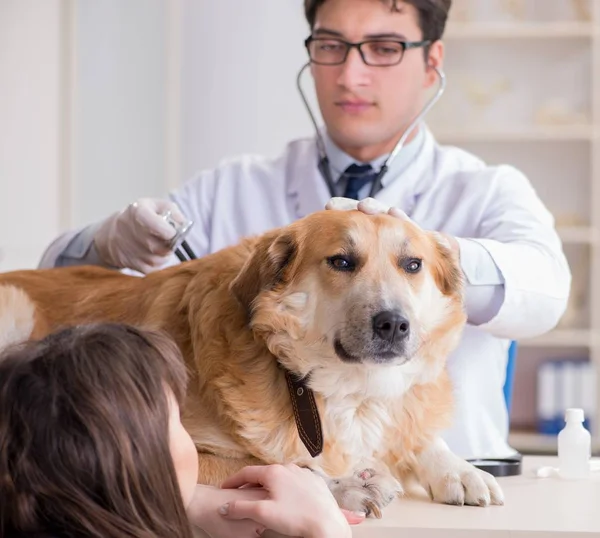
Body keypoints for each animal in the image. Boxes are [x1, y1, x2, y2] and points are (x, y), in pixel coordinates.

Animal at [1, 207, 502, 512]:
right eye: (341, 262)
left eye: (412, 265)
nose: (395, 325)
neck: (342, 389)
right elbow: (280, 465)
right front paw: (343, 484)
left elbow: (417, 434)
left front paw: (459, 469)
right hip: (15, 307)